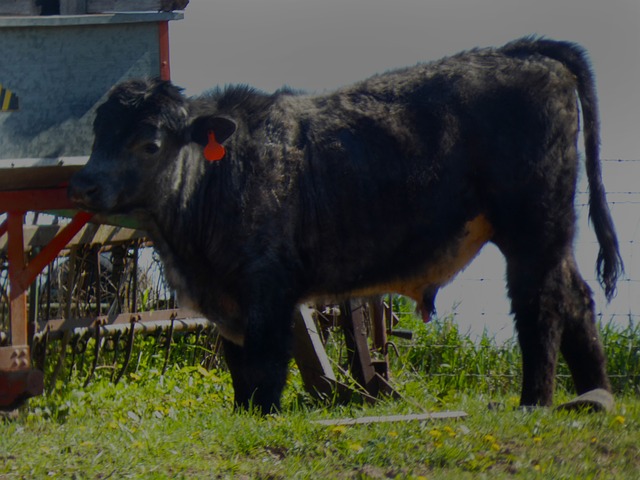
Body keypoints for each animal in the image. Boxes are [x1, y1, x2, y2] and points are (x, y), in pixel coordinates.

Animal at [69, 37, 623, 414]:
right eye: (97, 133)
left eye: (149, 143)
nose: (83, 185)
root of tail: (524, 52)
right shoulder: (227, 302)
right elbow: (238, 371)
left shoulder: (268, 290)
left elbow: (264, 368)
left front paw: (261, 416)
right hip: (551, 234)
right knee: (577, 298)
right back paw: (594, 395)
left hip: (531, 228)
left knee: (541, 305)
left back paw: (536, 401)